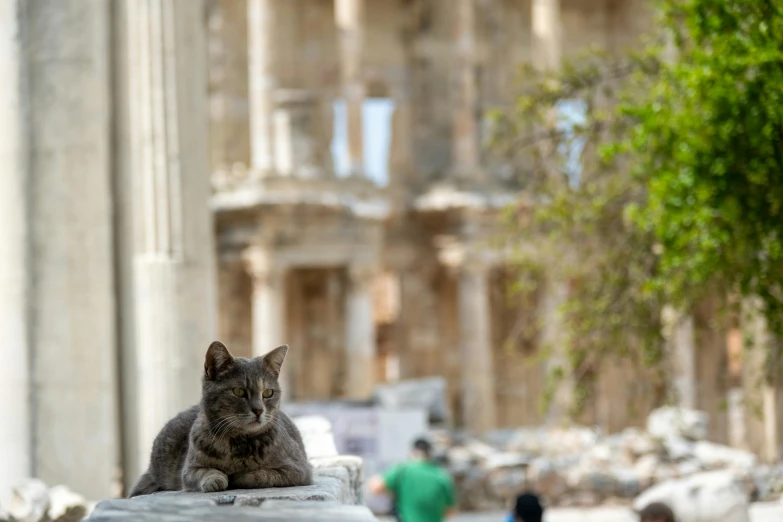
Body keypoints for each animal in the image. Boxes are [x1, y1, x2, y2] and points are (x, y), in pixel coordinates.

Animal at [129, 340, 312, 494]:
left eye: (268, 393)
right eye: (239, 391)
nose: (259, 410)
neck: (238, 442)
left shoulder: (298, 470)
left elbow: (260, 475)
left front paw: (238, 476)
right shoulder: (189, 470)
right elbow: (206, 472)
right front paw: (215, 478)